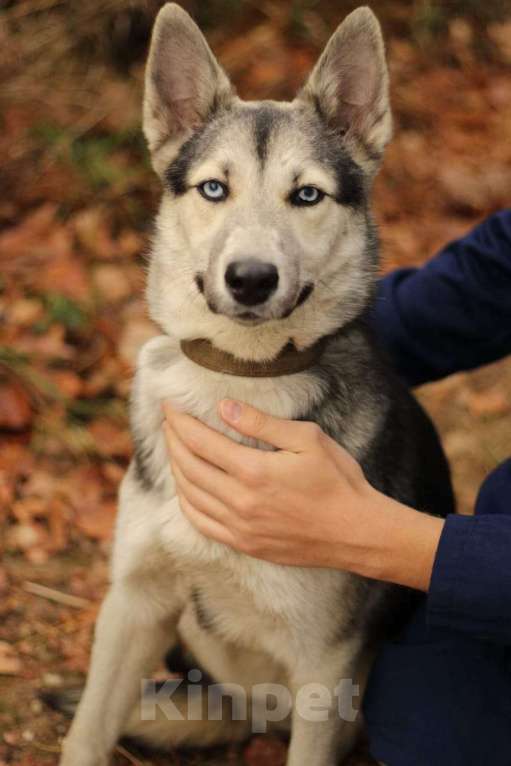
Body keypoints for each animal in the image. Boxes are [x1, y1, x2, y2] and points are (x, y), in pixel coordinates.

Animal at [57, 7, 456, 766]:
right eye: (215, 188)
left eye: (307, 195)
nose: (249, 279)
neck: (240, 376)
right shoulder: (133, 605)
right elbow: (87, 729)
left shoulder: (324, 667)